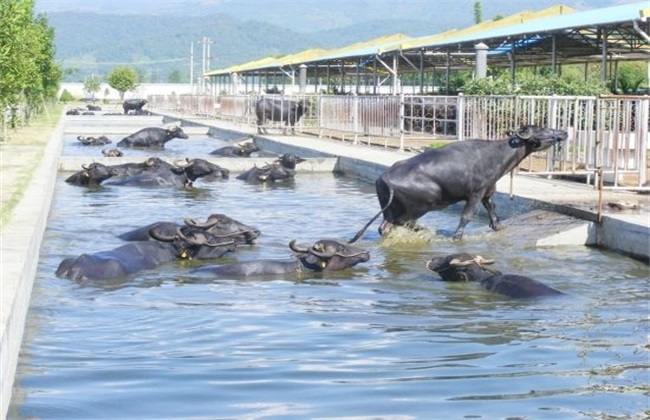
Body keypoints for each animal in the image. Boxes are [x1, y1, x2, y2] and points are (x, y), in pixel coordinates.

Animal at [346, 124, 564, 243]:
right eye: (541, 129)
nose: (563, 132)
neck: (498, 154)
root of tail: (385, 177)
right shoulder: (475, 193)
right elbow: (466, 216)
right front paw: (457, 237)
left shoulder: (487, 192)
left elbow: (493, 212)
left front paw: (499, 228)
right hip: (423, 203)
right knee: (401, 224)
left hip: (389, 210)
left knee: (386, 227)